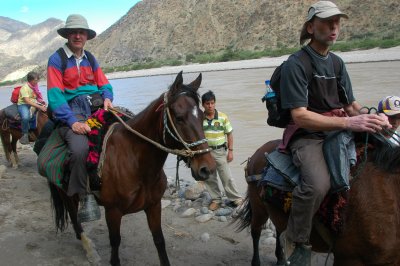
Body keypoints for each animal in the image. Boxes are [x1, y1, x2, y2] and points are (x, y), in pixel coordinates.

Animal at [48, 71, 217, 264]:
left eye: (203, 117)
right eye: (179, 118)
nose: (207, 168)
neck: (136, 163)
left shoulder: (153, 206)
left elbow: (159, 240)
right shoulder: (113, 211)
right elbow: (115, 244)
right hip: (66, 192)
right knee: (75, 218)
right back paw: (90, 250)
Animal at [234, 136, 400, 266]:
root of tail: (258, 153)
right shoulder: (347, 257)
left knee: (280, 228)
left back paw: (281, 259)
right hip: (258, 206)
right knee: (256, 231)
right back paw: (257, 262)